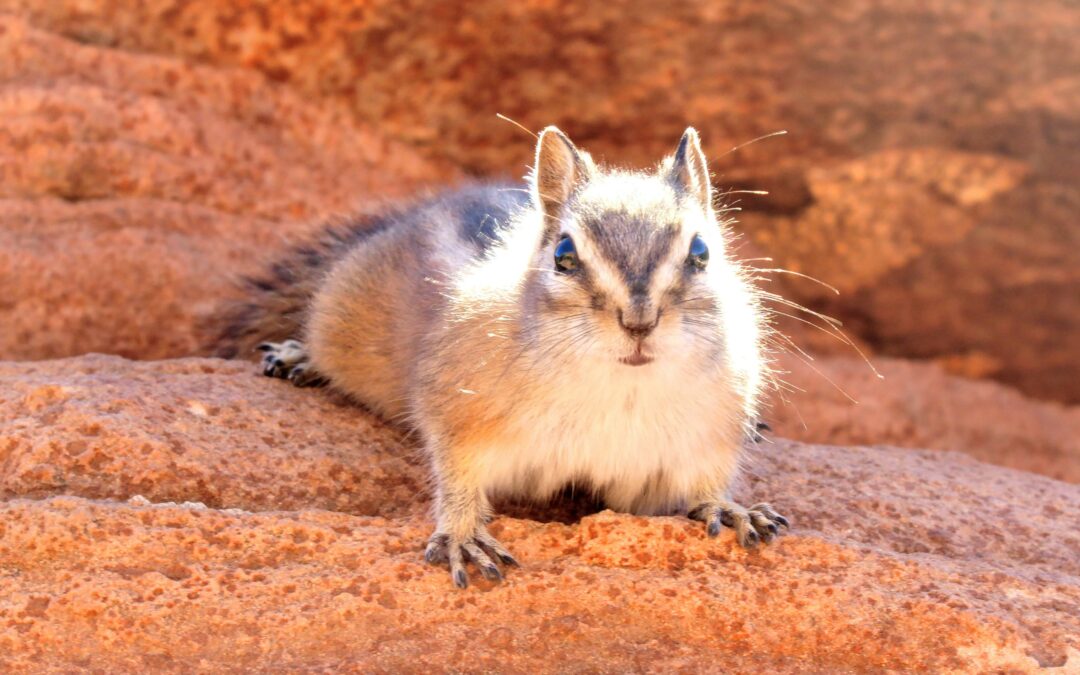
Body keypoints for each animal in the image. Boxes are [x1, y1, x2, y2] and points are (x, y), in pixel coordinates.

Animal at [213, 126, 788, 588]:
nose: (639, 322)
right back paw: (298, 356)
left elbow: (702, 484)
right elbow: (456, 474)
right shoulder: (460, 412)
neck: (620, 385)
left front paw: (730, 508)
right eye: (563, 255)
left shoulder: (699, 441)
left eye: (701, 252)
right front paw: (462, 532)